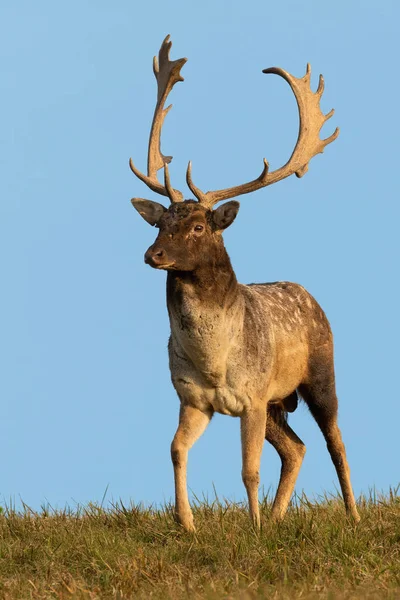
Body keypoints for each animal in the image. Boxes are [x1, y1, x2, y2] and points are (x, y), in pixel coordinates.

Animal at [130, 35, 360, 528]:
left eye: (199, 226)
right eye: (160, 223)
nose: (152, 255)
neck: (215, 360)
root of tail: (309, 295)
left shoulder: (253, 396)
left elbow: (248, 469)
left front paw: (251, 529)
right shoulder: (192, 398)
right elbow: (176, 449)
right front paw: (187, 523)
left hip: (320, 373)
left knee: (334, 440)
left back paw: (349, 514)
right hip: (278, 403)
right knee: (296, 448)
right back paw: (276, 518)